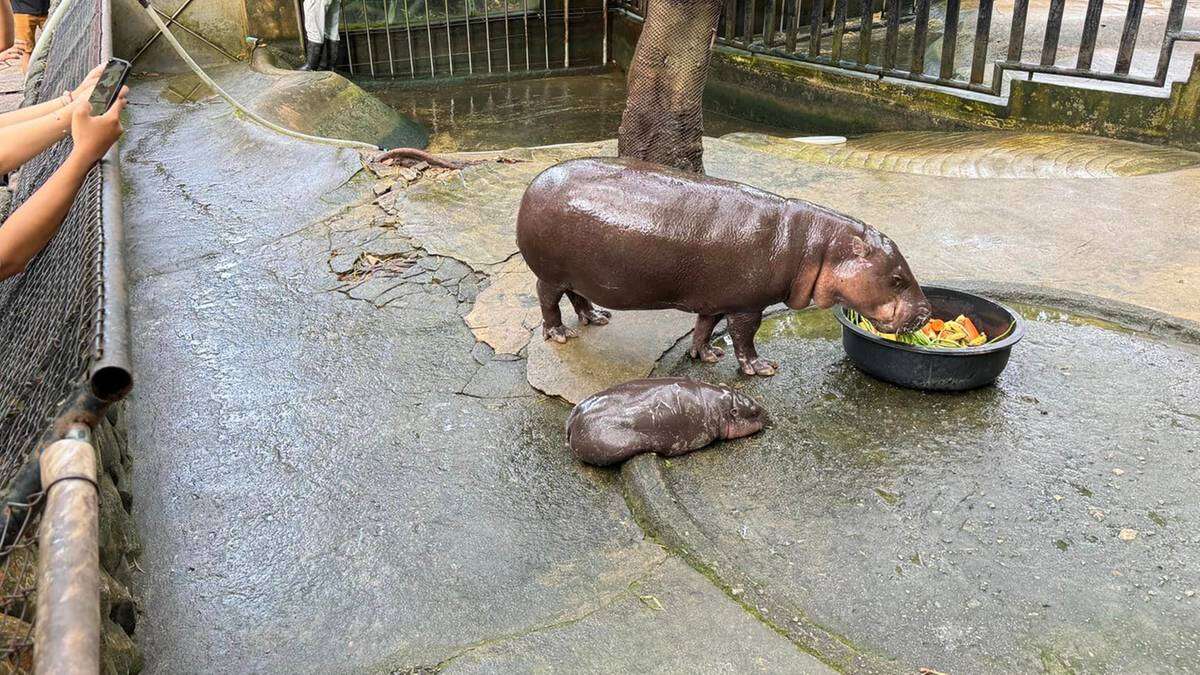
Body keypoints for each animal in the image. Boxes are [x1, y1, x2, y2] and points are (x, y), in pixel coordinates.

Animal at [511, 158, 931, 379]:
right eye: (897, 278)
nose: (927, 313)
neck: (816, 244)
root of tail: (534, 184)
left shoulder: (715, 298)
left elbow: (704, 326)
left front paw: (707, 355)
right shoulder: (746, 305)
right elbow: (744, 337)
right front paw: (762, 368)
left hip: (579, 273)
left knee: (577, 295)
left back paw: (598, 318)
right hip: (550, 272)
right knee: (547, 299)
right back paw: (560, 334)